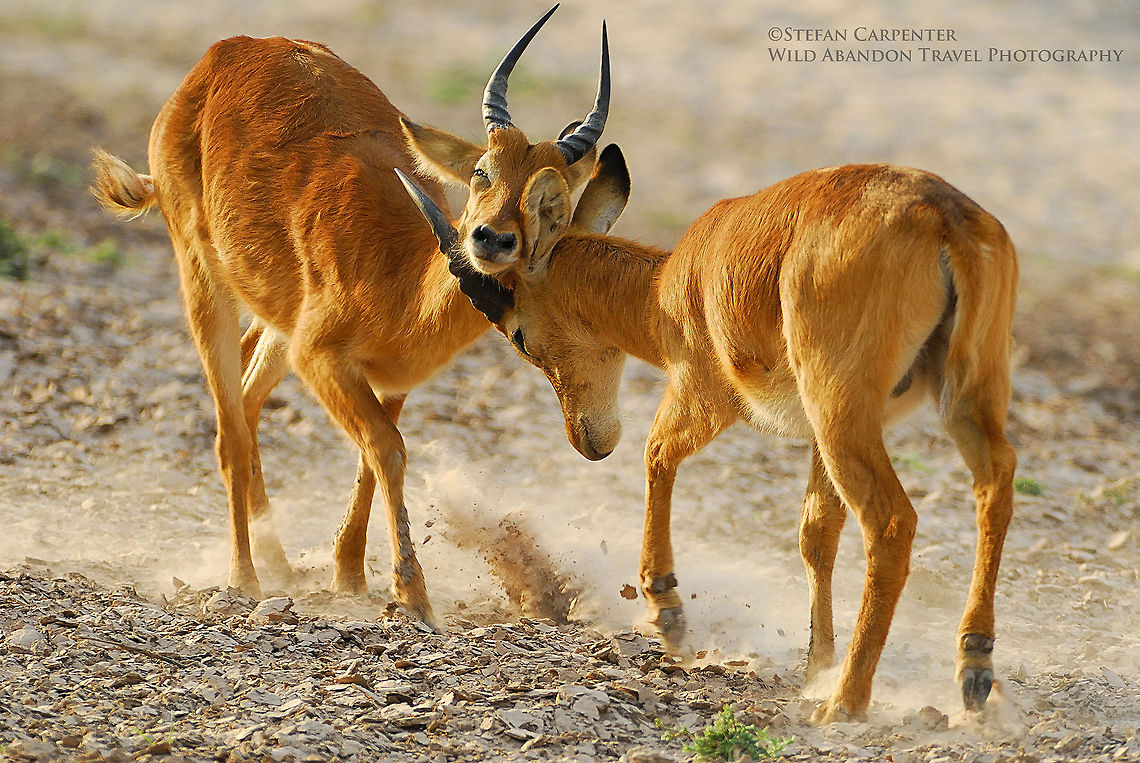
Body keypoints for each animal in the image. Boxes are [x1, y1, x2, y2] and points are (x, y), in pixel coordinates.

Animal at [90, 5, 611, 627]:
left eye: (554, 203)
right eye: (483, 171)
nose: (491, 239)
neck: (399, 281)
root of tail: (227, 51)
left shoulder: (391, 378)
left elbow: (374, 452)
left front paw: (350, 576)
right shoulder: (320, 357)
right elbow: (387, 448)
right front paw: (411, 593)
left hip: (276, 322)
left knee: (247, 398)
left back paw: (281, 566)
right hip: (204, 280)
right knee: (229, 431)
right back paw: (244, 579)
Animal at [398, 130, 1018, 718]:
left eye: (520, 334)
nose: (589, 441)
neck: (668, 285)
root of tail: (944, 216)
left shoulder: (703, 394)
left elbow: (657, 455)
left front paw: (668, 611)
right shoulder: (813, 439)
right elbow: (816, 533)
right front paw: (814, 664)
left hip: (843, 413)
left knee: (891, 522)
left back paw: (845, 702)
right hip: (953, 402)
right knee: (996, 479)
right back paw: (972, 667)